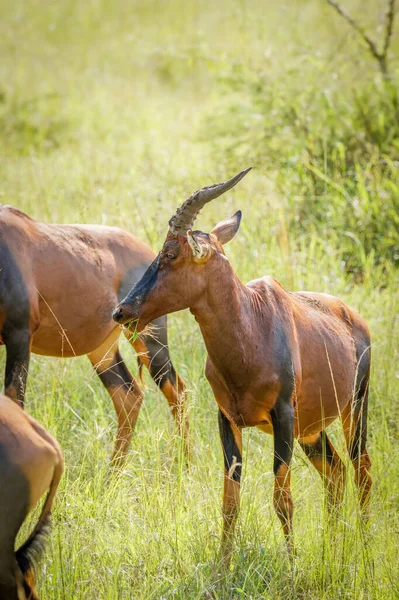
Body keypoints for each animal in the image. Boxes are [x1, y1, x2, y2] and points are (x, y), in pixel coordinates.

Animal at [0, 209, 189, 466]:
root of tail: (149, 253)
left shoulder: (19, 335)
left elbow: (14, 402)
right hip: (103, 350)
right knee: (129, 396)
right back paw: (113, 474)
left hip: (149, 339)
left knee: (177, 391)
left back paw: (186, 466)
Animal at [113, 168, 376, 564]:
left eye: (171, 253)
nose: (121, 311)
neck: (253, 323)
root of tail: (353, 318)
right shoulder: (227, 418)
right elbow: (230, 502)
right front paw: (222, 567)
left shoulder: (282, 417)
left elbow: (282, 500)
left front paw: (292, 566)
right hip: (311, 429)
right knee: (336, 472)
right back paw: (333, 546)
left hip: (352, 409)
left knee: (362, 471)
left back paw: (362, 550)